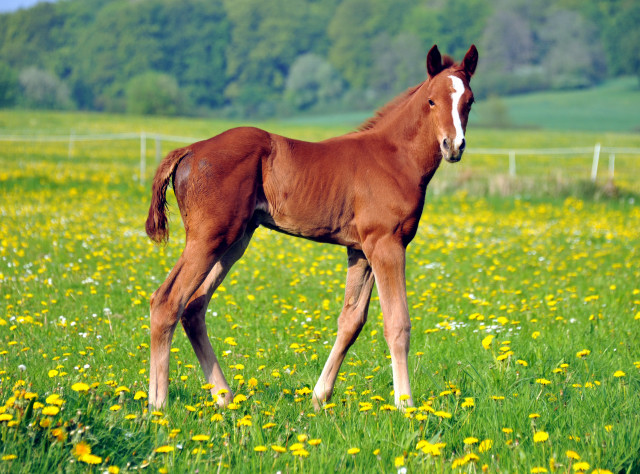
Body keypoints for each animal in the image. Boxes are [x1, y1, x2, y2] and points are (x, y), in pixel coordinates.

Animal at [145, 45, 476, 412]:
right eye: (432, 101)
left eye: (469, 101)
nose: (453, 146)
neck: (394, 158)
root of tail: (189, 150)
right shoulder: (387, 245)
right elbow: (397, 323)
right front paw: (406, 405)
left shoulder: (360, 250)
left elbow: (351, 322)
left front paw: (320, 397)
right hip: (209, 238)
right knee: (167, 301)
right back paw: (158, 404)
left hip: (234, 241)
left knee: (194, 306)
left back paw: (224, 397)